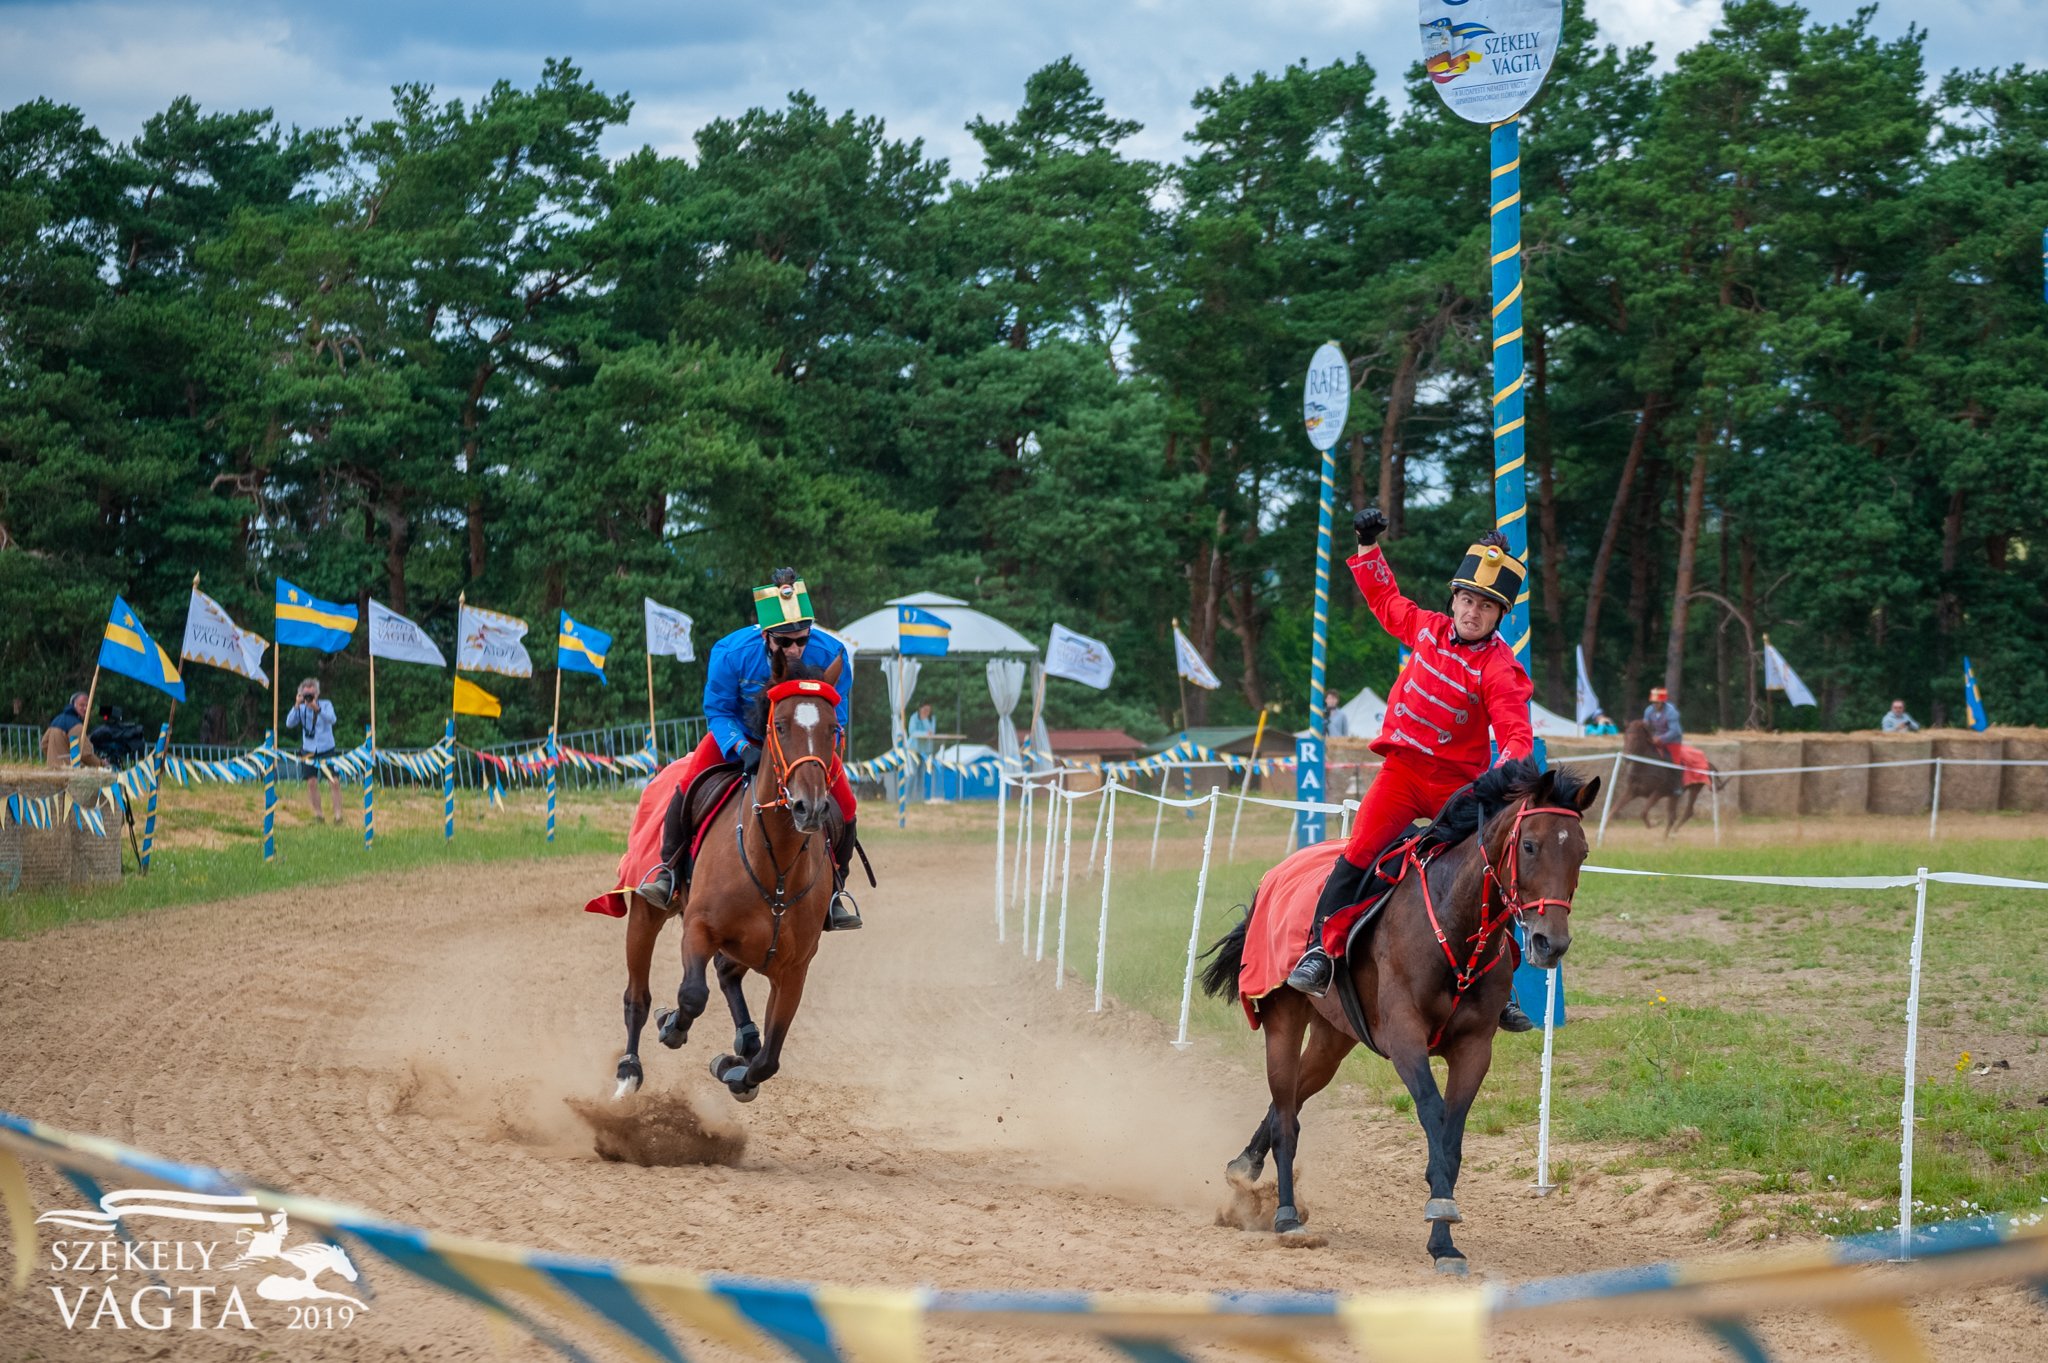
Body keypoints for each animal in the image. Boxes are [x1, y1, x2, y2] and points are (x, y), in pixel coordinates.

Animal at [610, 650, 843, 1105]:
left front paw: (735, 1071)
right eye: (779, 725)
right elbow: (691, 995)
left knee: (728, 977)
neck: (776, 867)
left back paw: (743, 1043)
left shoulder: (793, 970)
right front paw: (673, 1025)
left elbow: (769, 1059)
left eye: (832, 728)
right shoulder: (699, 928)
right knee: (637, 996)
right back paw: (629, 1069)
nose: (810, 807)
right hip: (647, 912)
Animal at [1196, 757, 1597, 1268]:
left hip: (1333, 1038)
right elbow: (1433, 1114)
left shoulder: (1474, 1049)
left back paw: (1246, 1167)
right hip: (1283, 1021)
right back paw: (1285, 1215)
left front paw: (1443, 1238)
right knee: (1286, 1116)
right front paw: (1440, 1208)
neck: (1453, 921)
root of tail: (1276, 875)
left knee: (1290, 1100)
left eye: (1582, 852)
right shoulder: (1406, 1038)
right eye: (1530, 845)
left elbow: (1453, 1133)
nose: (1551, 943)